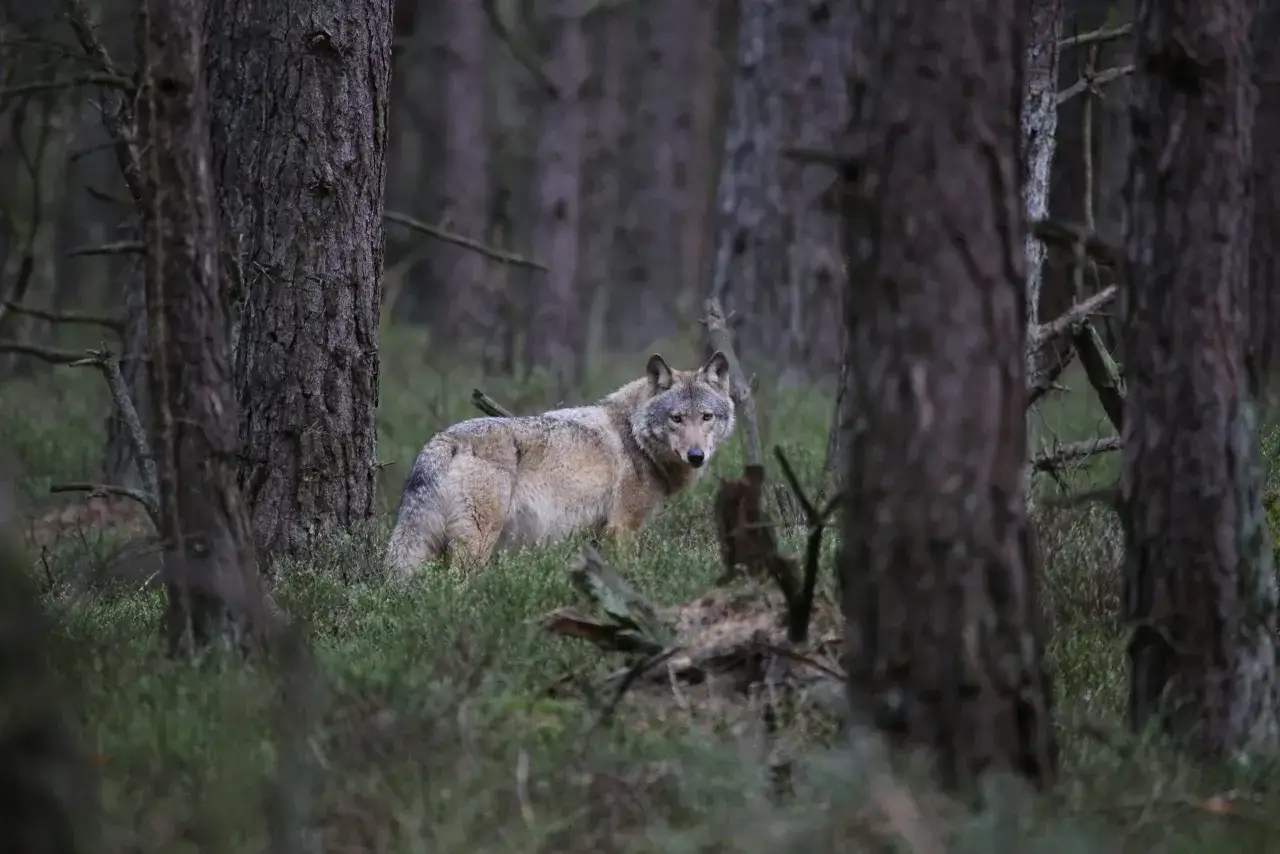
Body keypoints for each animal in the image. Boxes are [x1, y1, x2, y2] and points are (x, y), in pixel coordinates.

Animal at [384, 351, 736, 579]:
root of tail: (445, 439)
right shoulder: (623, 528)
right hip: (476, 544)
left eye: (707, 417)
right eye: (676, 418)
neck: (636, 437)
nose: (696, 456)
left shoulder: (598, 535)